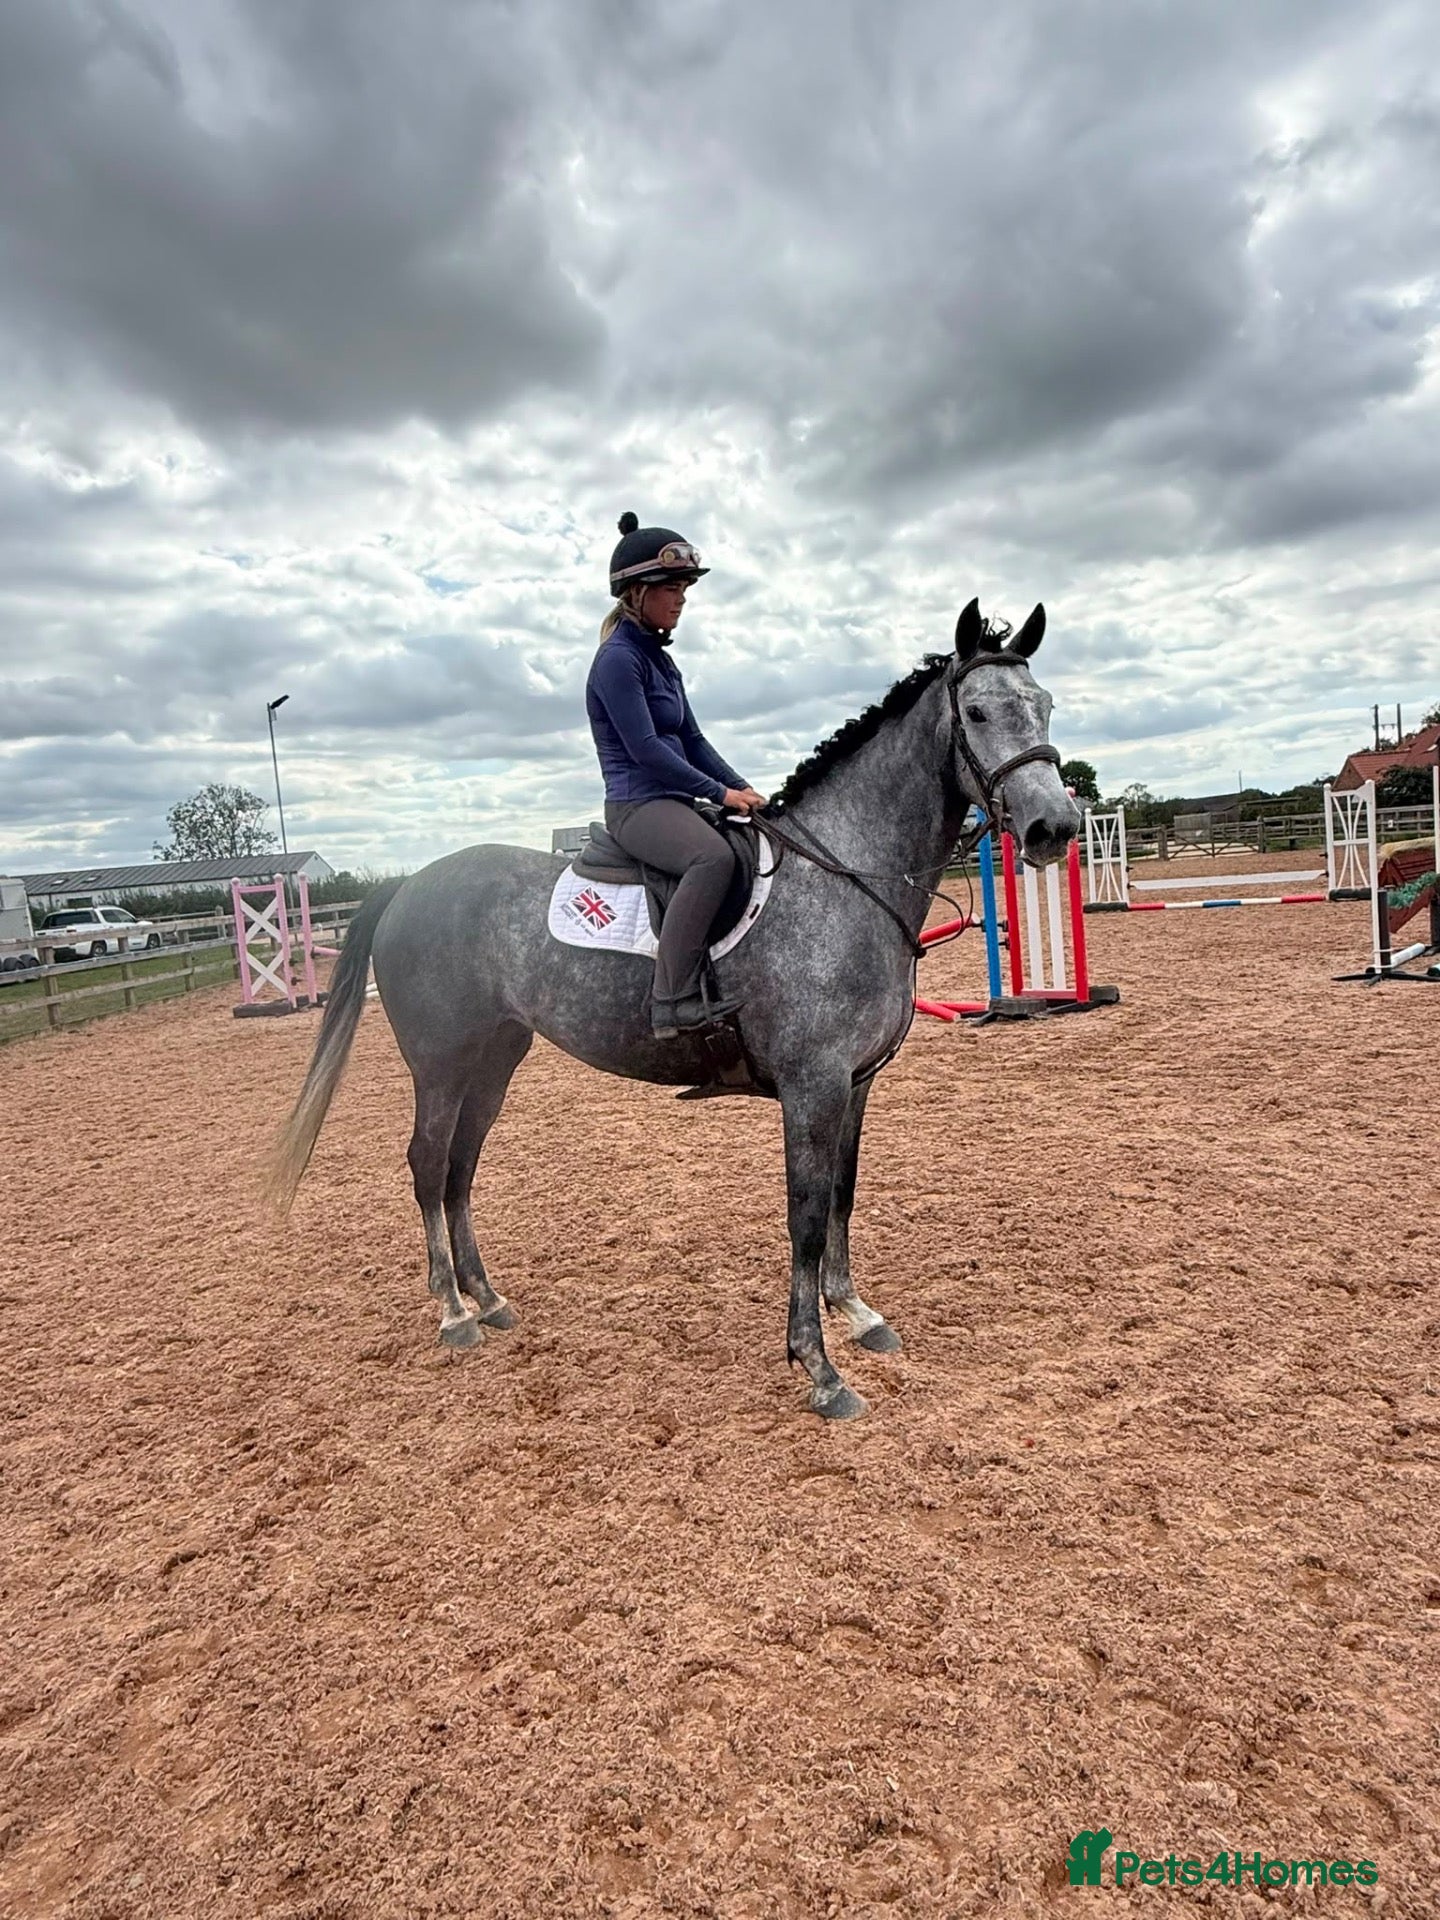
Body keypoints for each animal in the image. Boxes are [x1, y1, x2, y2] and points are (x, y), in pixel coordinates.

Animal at [269, 598, 1079, 1419]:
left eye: (1044, 704)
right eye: (976, 712)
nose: (1055, 828)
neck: (844, 876)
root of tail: (409, 885)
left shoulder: (854, 1084)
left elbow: (843, 1198)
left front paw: (856, 1314)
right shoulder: (811, 1086)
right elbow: (805, 1216)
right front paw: (818, 1367)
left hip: (495, 1058)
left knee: (461, 1166)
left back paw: (487, 1299)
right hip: (440, 1064)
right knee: (430, 1163)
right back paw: (453, 1312)